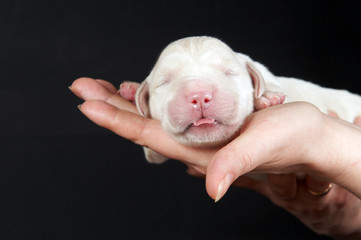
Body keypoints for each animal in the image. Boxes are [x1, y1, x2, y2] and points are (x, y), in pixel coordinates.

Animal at [118, 35, 360, 163]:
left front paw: (267, 98)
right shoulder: (154, 153)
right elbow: (154, 153)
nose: (200, 96)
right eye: (164, 82)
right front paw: (132, 90)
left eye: (229, 73)